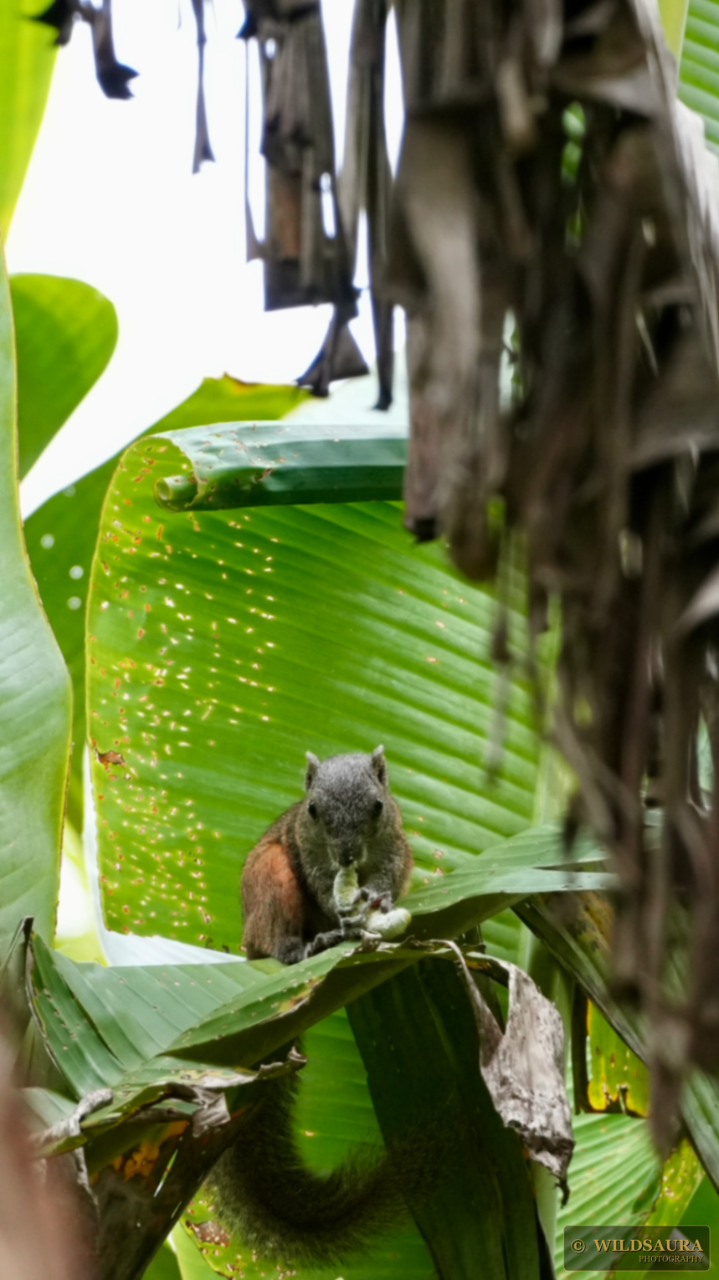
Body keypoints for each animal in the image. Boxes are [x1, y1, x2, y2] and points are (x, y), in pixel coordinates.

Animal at [210, 747, 421, 1267]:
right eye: (312, 811)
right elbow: (324, 882)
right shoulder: (307, 851)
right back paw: (304, 947)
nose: (346, 855)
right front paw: (344, 906)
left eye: (378, 806)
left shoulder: (396, 844)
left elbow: (390, 872)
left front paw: (377, 898)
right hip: (268, 882)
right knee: (278, 936)